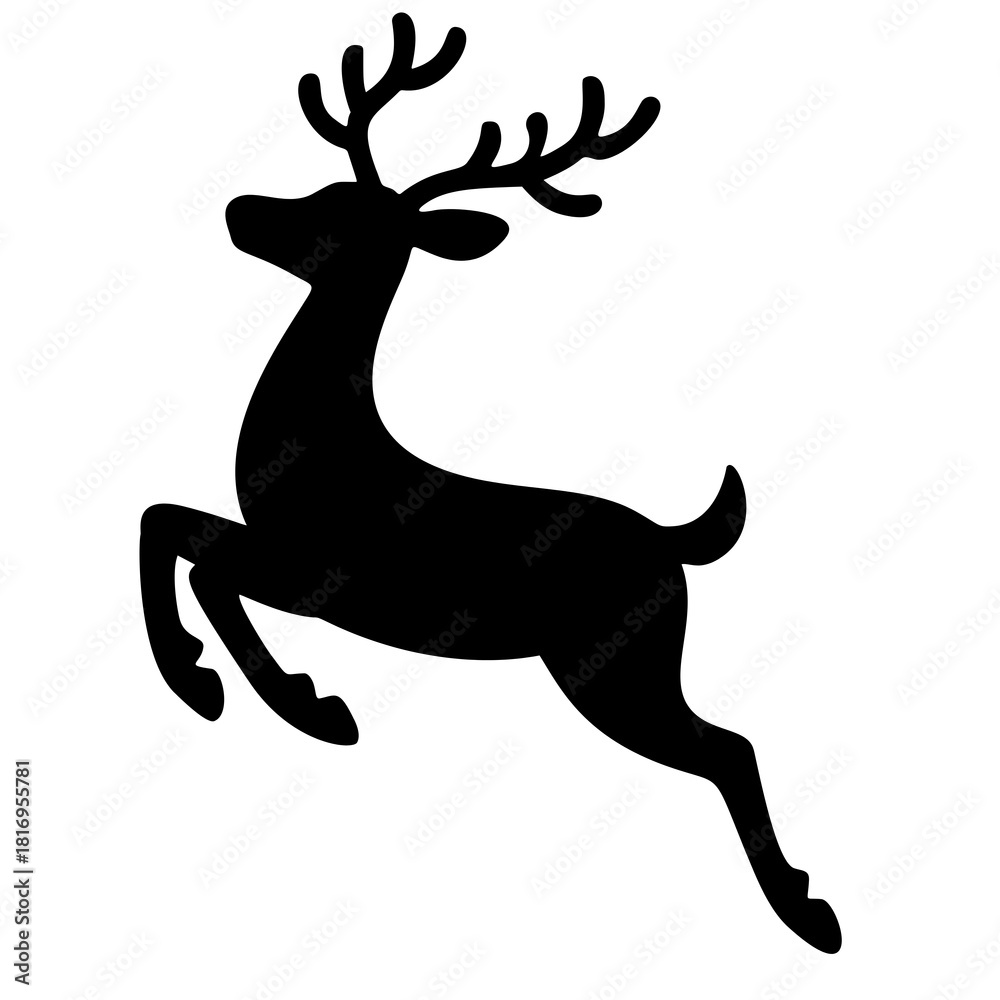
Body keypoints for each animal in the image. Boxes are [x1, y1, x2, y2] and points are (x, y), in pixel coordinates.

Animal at [139, 13, 841, 954]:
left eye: (340, 211)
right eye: (326, 185)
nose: (241, 209)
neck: (315, 445)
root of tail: (673, 541)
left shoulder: (322, 572)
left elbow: (194, 553)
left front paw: (267, 697)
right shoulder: (284, 554)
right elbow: (173, 527)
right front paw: (245, 689)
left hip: (617, 665)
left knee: (730, 746)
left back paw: (808, 912)